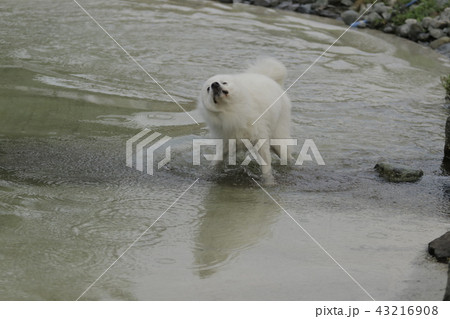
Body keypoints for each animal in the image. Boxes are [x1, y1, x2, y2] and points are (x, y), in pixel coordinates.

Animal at [198, 57, 292, 185]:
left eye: (224, 82)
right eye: (208, 89)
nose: (214, 84)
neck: (230, 110)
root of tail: (268, 77)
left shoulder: (260, 139)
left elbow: (266, 165)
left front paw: (268, 181)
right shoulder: (227, 142)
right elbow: (217, 161)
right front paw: (210, 172)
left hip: (278, 140)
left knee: (287, 154)